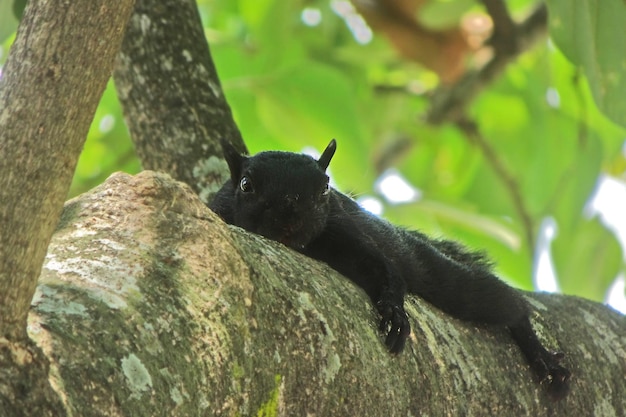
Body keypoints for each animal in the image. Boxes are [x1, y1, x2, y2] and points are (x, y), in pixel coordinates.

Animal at [210, 138, 572, 398]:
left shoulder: (345, 231)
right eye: (246, 185)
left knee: (505, 304)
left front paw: (395, 315)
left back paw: (540, 355)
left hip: (438, 275)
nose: (290, 215)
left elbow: (384, 270)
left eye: (325, 187)